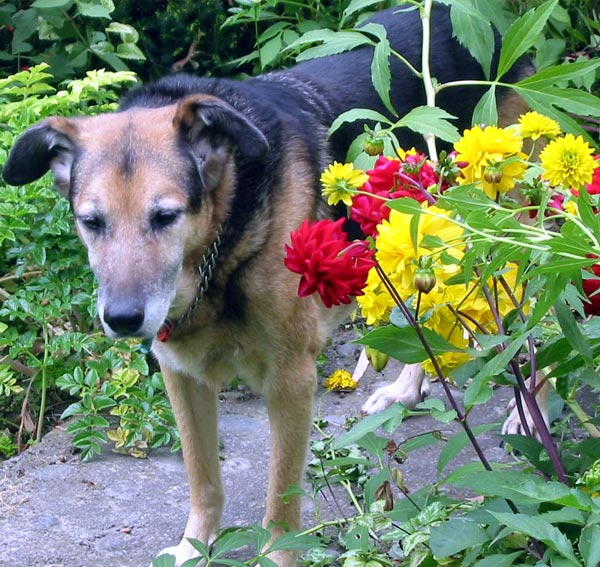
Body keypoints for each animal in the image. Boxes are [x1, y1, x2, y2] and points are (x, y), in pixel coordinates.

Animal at [3, 4, 528, 567]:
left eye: (165, 217)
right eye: (91, 221)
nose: (122, 320)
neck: (220, 248)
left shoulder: (291, 380)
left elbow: (281, 503)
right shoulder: (181, 375)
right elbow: (203, 479)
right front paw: (195, 546)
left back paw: (526, 417)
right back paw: (407, 391)